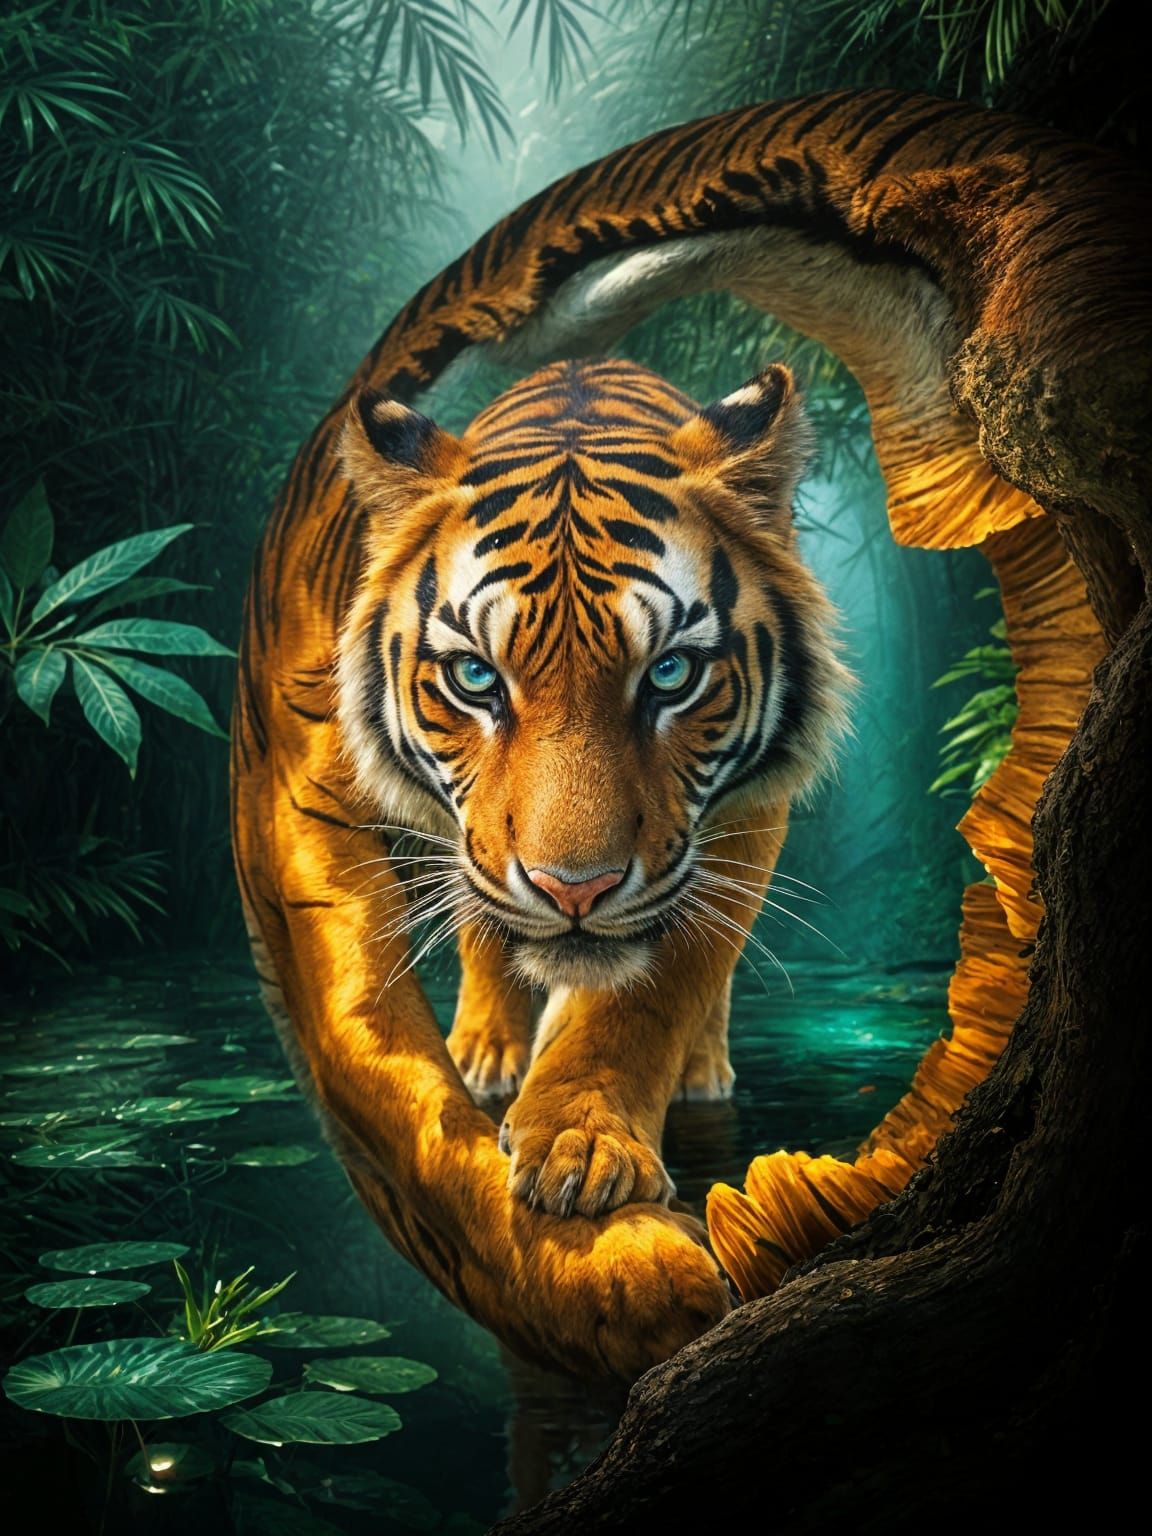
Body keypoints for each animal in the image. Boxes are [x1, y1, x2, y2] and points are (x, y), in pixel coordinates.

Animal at [333, 355, 850, 1218]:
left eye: (670, 673)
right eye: (476, 677)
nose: (573, 890)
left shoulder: (742, 822)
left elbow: (656, 989)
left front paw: (583, 1142)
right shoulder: (463, 839)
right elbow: (481, 920)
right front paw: (489, 1057)